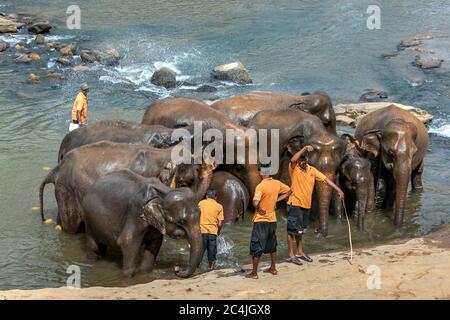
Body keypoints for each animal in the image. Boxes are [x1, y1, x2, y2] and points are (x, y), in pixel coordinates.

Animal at [82, 166, 214, 278]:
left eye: (200, 215)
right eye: (180, 221)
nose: (176, 268)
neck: (163, 193)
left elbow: (155, 243)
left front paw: (144, 274)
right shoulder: (135, 212)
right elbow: (127, 241)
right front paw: (126, 277)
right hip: (89, 221)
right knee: (93, 248)